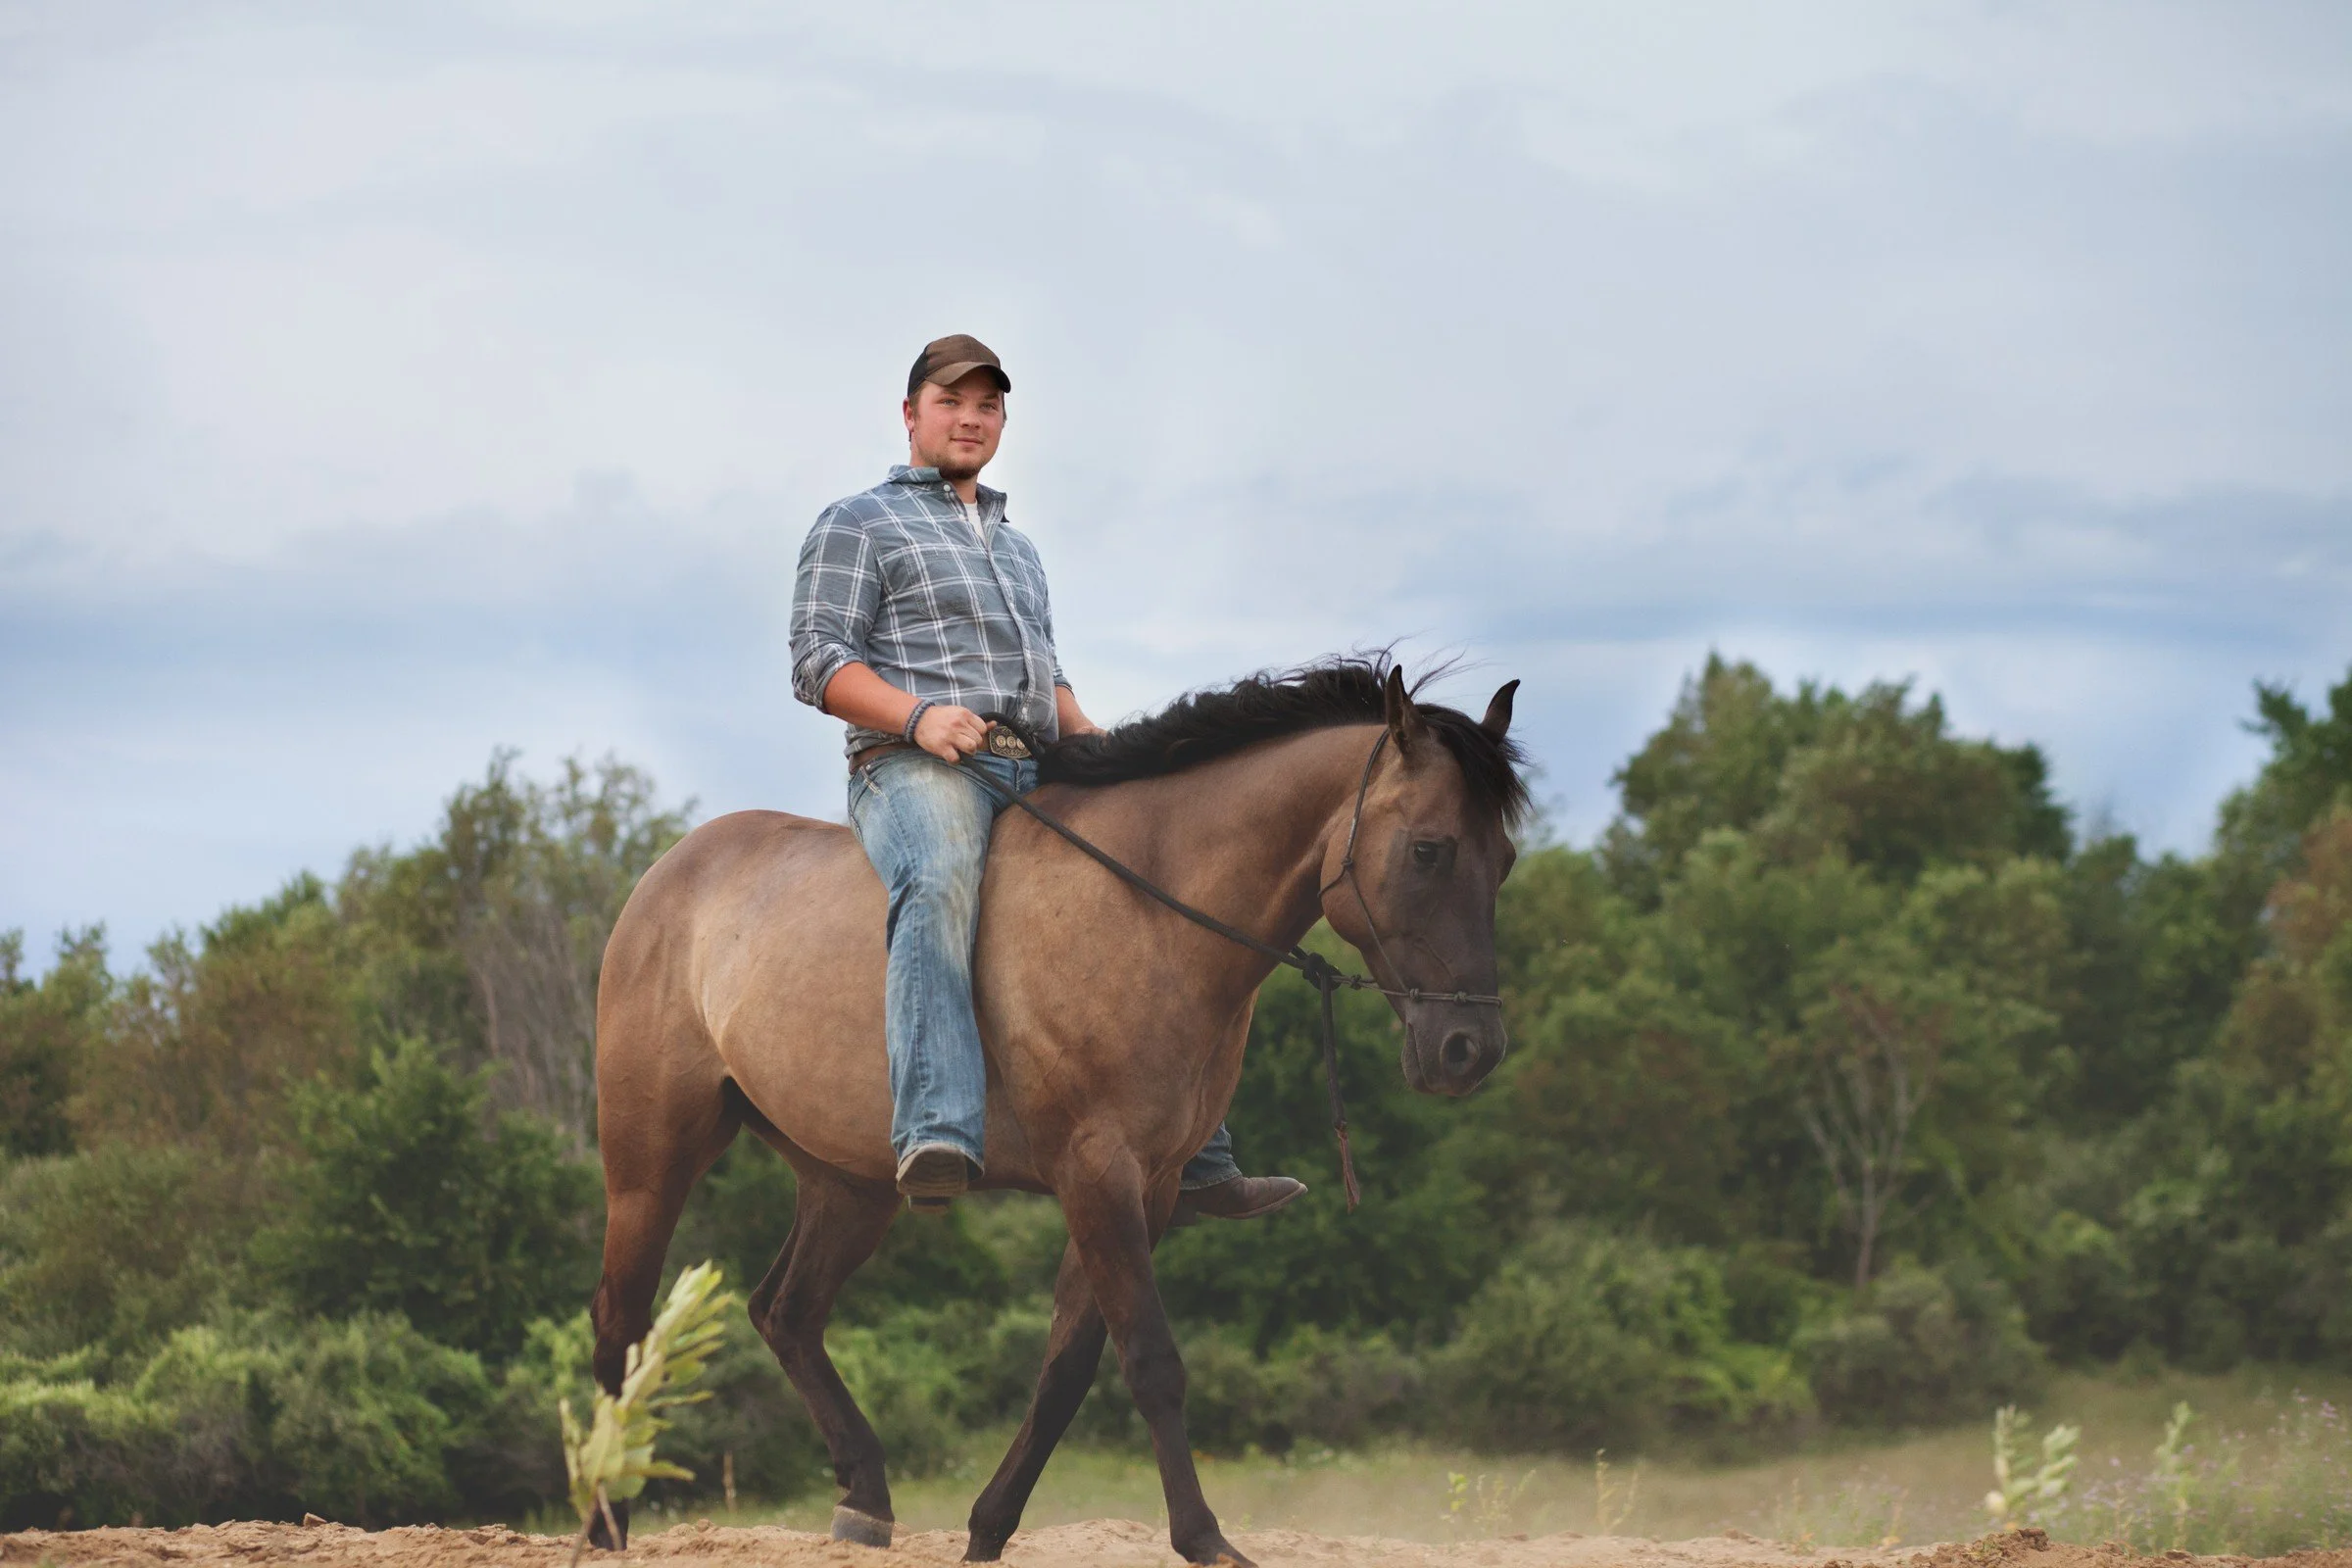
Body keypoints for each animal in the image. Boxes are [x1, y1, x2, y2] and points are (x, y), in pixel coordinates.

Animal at [587, 658, 1528, 1566]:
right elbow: (1151, 1361)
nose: (1470, 1050)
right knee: (622, 1322)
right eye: (1430, 850)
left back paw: (865, 1501)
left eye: (1508, 860)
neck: (1147, 913)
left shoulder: (1148, 1186)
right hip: (650, 1162)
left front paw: (986, 1530)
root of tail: (667, 873)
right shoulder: (1096, 1170)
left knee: (785, 1314)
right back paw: (606, 1521)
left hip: (849, 1183)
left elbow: (1068, 1367)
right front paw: (1206, 1540)